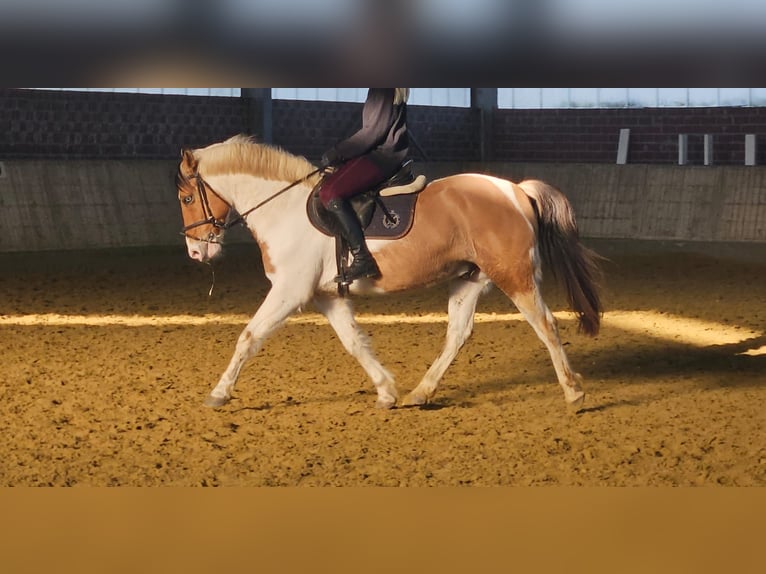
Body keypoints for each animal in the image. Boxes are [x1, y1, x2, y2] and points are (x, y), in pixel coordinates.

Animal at [175, 135, 602, 411]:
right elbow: (354, 343)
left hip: (514, 275)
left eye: (187, 197)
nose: (196, 252)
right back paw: (420, 393)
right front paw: (385, 392)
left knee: (545, 324)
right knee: (457, 335)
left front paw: (218, 394)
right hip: (469, 278)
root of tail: (515, 190)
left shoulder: (289, 291)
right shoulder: (325, 296)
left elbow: (248, 337)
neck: (285, 210)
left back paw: (573, 394)